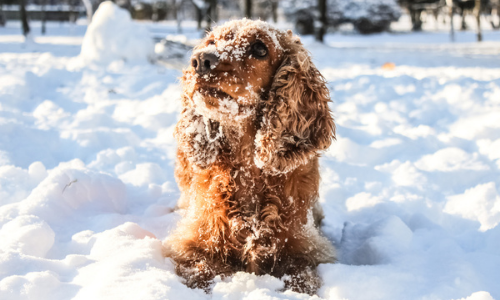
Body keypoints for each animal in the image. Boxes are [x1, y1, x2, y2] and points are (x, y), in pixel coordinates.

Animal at [164, 19, 336, 296]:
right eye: (211, 42)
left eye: (259, 48)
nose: (200, 60)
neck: (248, 169)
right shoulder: (192, 244)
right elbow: (201, 272)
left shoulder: (306, 247)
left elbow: (302, 278)